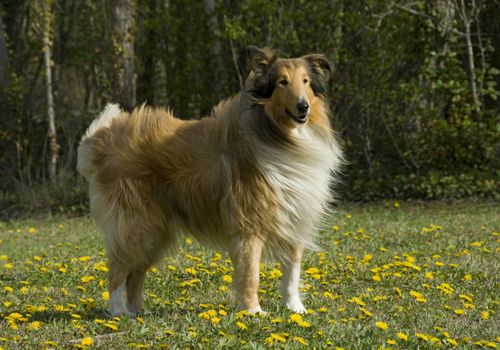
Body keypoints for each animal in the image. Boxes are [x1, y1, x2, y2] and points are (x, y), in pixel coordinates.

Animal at [78, 46, 342, 318]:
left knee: (136, 273)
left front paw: (295, 309)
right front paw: (253, 312)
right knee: (117, 270)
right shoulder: (249, 225)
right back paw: (118, 312)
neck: (278, 136)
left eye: (306, 81)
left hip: (155, 231)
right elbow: (251, 274)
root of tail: (100, 140)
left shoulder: (295, 216)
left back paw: (139, 312)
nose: (303, 107)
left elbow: (292, 273)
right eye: (282, 82)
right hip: (136, 225)